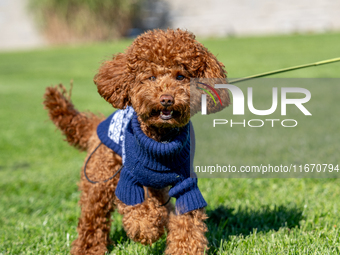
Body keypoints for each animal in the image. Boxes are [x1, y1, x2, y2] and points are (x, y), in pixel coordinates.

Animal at [42, 28, 228, 254]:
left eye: (181, 76)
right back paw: (88, 248)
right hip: (101, 178)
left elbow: (188, 223)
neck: (160, 141)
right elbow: (138, 209)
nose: (167, 99)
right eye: (151, 77)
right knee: (93, 217)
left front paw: (181, 247)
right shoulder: (128, 180)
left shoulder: (185, 184)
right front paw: (146, 228)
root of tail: (95, 125)